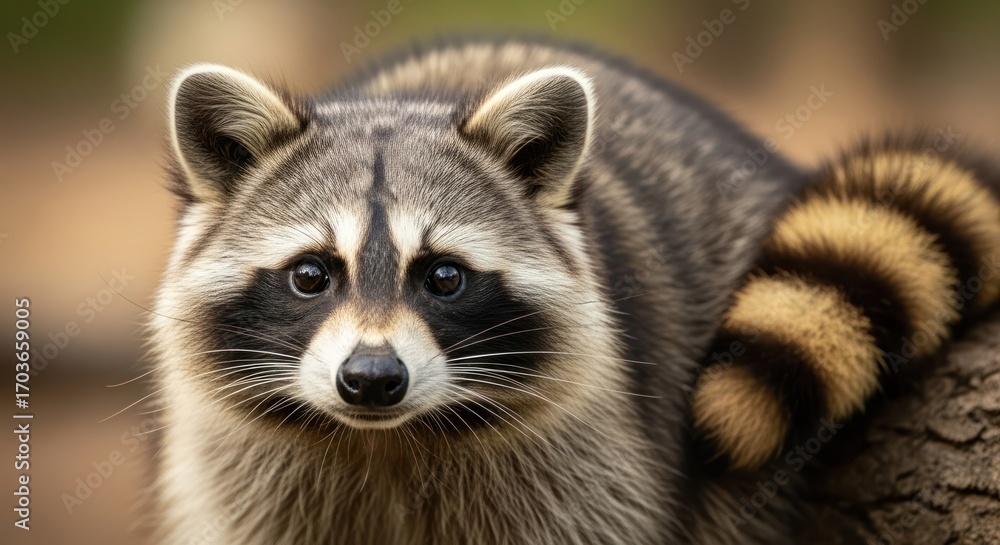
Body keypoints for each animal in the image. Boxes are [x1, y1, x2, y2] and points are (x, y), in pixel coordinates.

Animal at [150, 39, 1000, 544]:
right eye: (311, 274)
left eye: (444, 276)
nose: (371, 379)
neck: (389, 438)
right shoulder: (251, 477)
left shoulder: (587, 461)